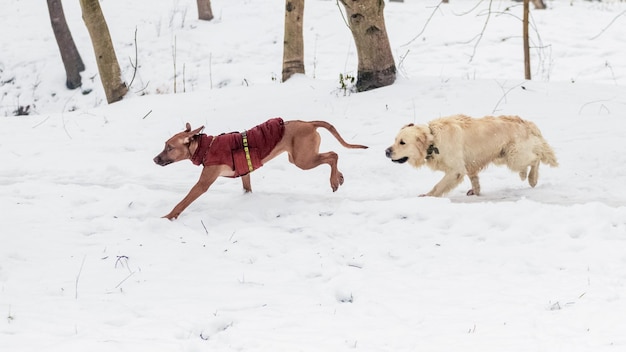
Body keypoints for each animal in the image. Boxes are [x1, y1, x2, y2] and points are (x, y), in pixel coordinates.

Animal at [153, 117, 366, 219]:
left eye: (169, 147)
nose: (154, 159)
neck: (205, 147)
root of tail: (308, 123)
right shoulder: (244, 174)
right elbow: (247, 188)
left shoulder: (203, 184)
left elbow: (183, 202)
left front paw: (168, 217)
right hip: (300, 158)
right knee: (331, 156)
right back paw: (339, 177)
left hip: (303, 160)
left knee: (333, 155)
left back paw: (334, 181)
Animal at [386, 115, 556, 198]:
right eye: (395, 140)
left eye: (402, 142)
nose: (386, 151)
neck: (434, 140)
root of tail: (525, 122)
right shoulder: (469, 164)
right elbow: (474, 179)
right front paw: (475, 191)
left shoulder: (455, 170)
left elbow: (438, 185)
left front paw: (428, 196)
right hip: (506, 155)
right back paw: (523, 174)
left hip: (514, 156)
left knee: (536, 158)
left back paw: (532, 179)